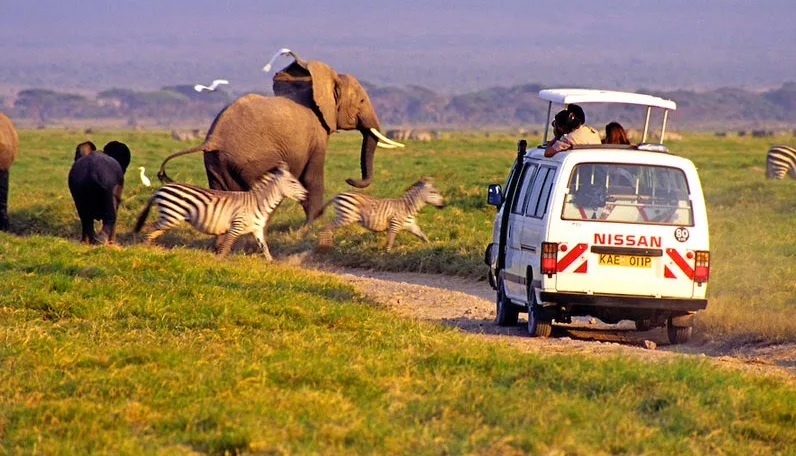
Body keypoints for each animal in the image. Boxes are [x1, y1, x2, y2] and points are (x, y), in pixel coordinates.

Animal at [132, 163, 306, 260]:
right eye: (293, 182)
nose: (306, 194)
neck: (258, 203)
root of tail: (161, 188)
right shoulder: (236, 226)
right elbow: (226, 248)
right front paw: (218, 263)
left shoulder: (257, 230)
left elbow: (266, 250)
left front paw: (271, 264)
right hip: (171, 216)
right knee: (150, 227)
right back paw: (145, 248)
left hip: (170, 217)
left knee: (155, 230)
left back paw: (150, 248)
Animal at [157, 50, 404, 224]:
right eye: (361, 101)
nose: (350, 180)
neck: (319, 81)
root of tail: (213, 138)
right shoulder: (316, 135)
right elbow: (312, 178)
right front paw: (312, 227)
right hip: (252, 161)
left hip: (216, 163)